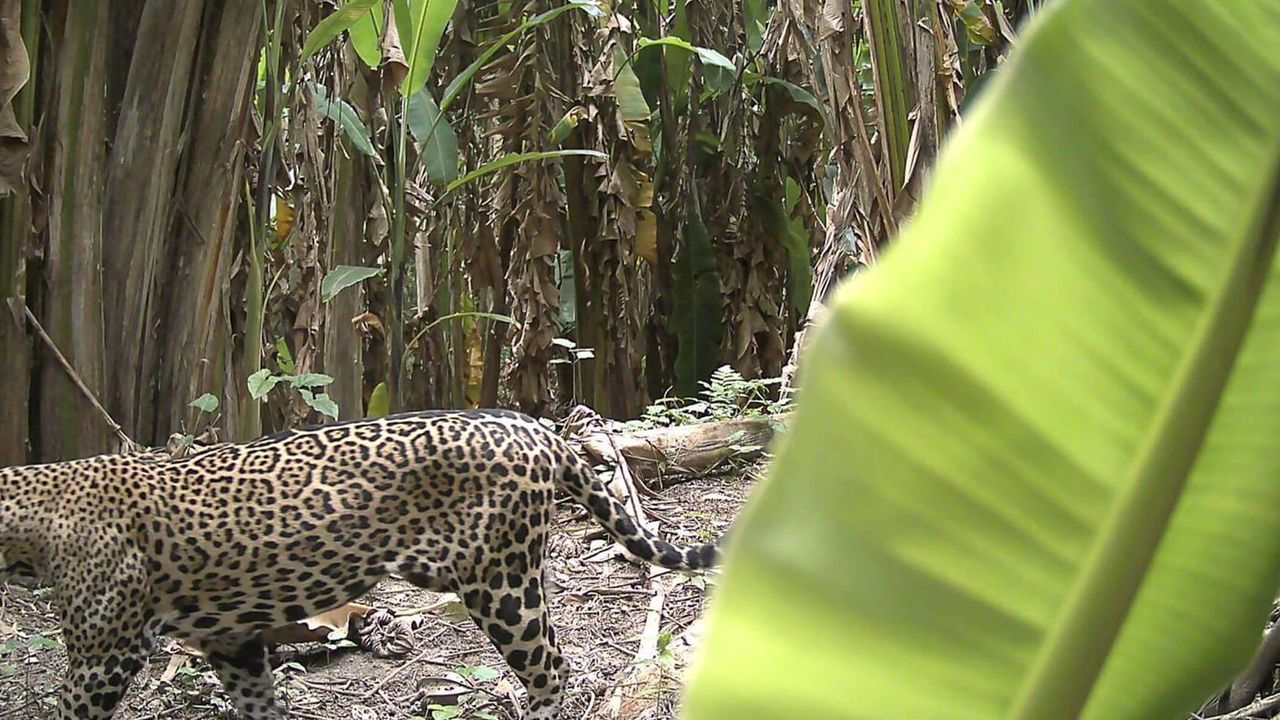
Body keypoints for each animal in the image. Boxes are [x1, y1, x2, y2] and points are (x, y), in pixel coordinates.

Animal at [0, 409, 722, 720]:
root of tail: (537, 427)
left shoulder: (105, 655)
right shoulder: (231, 640)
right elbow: (259, 702)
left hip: (500, 583)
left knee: (551, 668)